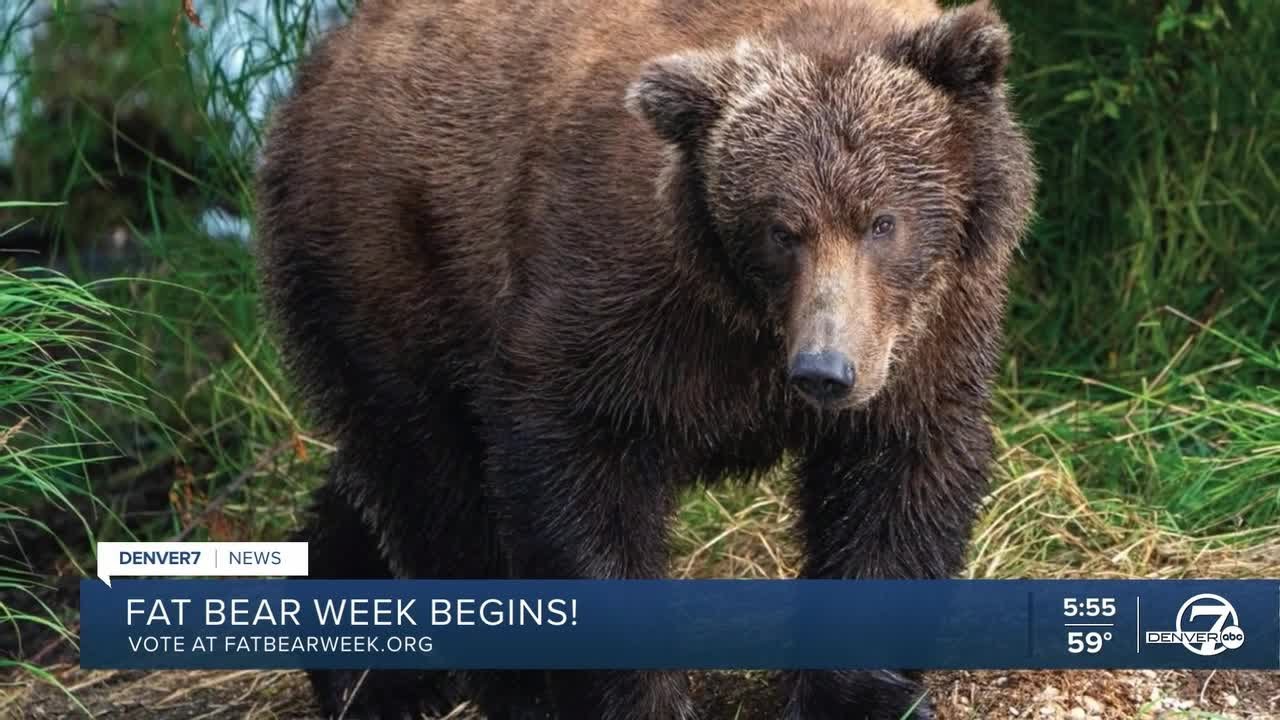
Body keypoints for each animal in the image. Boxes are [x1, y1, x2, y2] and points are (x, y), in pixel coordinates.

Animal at [254, 0, 1036, 718]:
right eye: (780, 230)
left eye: (882, 221)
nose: (824, 370)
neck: (747, 319)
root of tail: (326, 56)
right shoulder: (615, 307)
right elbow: (578, 481)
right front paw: (639, 695)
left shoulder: (929, 330)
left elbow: (898, 475)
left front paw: (859, 695)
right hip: (388, 266)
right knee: (429, 474)